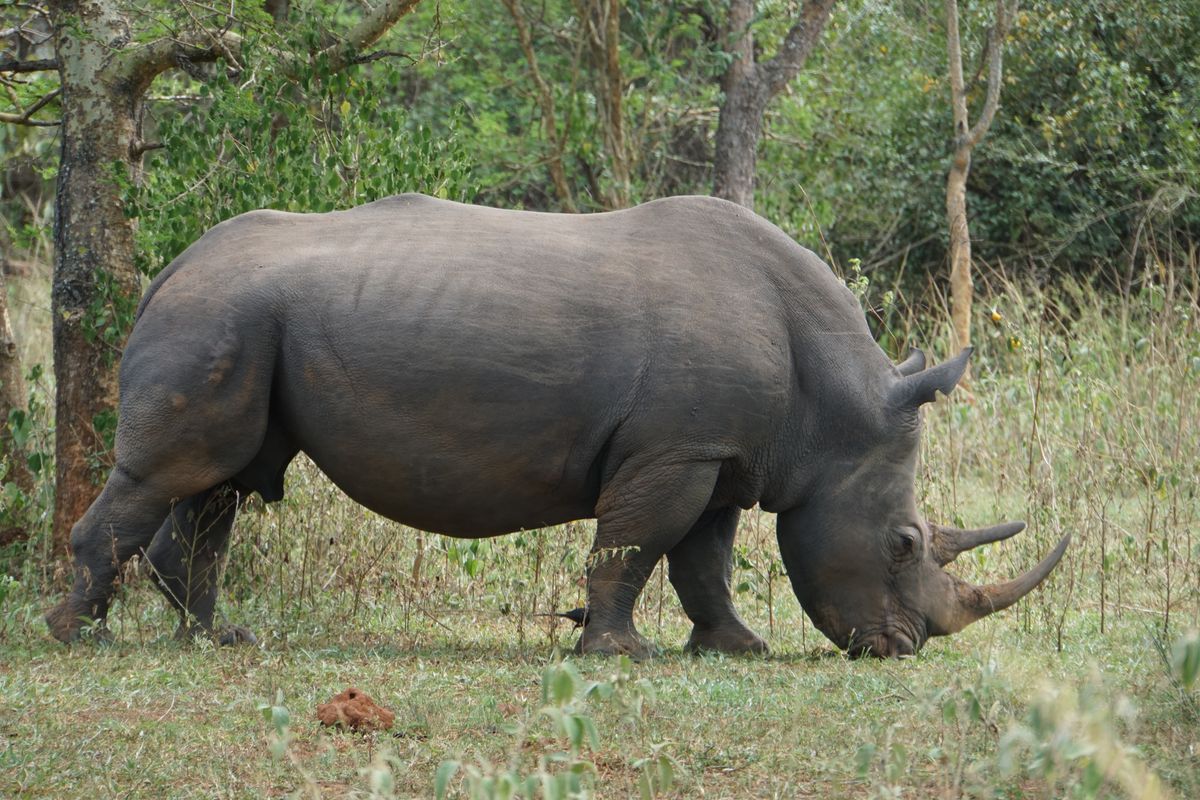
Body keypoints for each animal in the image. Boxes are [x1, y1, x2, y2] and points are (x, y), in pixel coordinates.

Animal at [46, 194, 1068, 658]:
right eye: (902, 543)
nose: (904, 647)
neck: (838, 407)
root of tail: (167, 273)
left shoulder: (719, 451)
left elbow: (702, 560)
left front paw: (735, 648)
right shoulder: (678, 449)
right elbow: (636, 546)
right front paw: (619, 653)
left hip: (240, 317)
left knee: (219, 482)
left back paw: (217, 642)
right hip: (218, 315)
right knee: (174, 475)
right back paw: (77, 639)